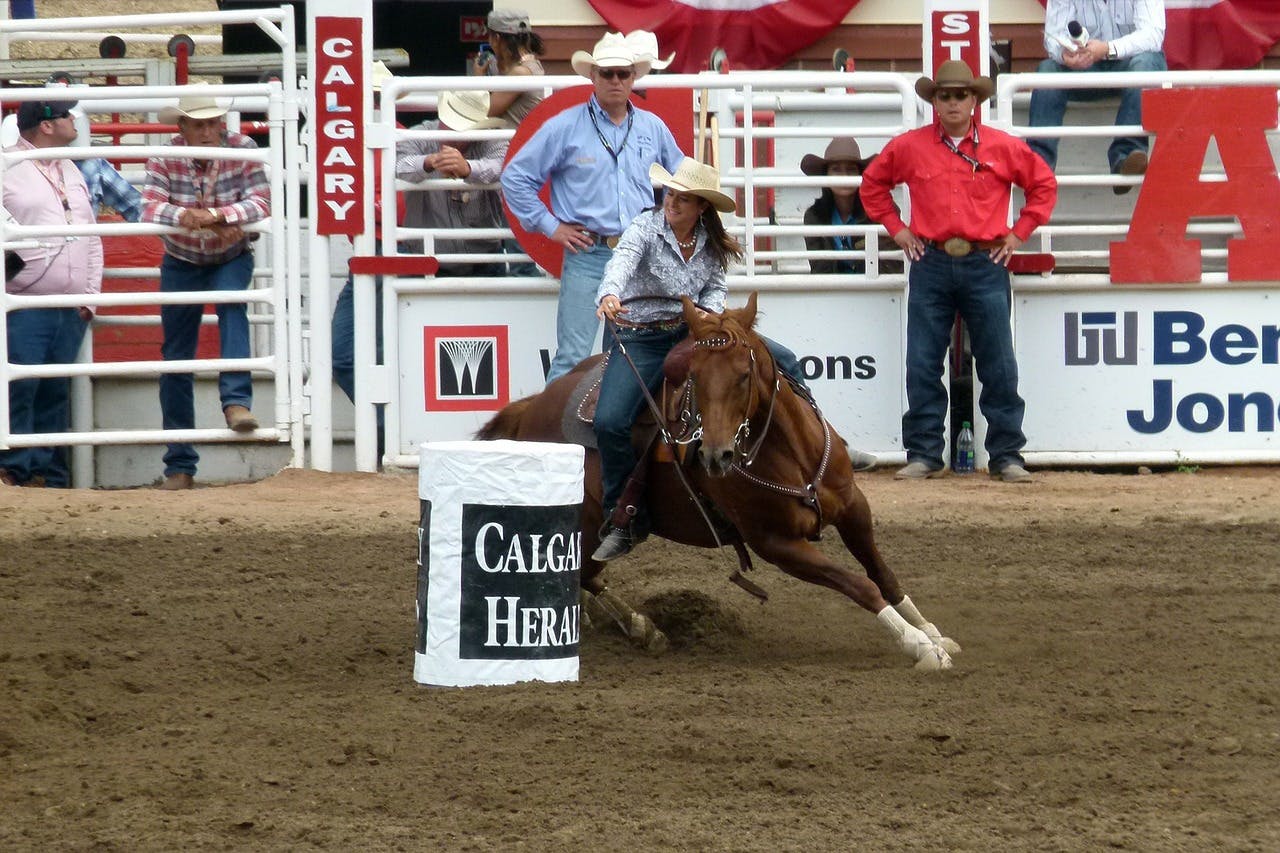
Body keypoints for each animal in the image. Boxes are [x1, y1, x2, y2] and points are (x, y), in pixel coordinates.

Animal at [476, 295, 957, 666]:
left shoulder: (854, 507)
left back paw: (637, 626)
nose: (715, 455)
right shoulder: (776, 544)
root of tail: (533, 407)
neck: (792, 455)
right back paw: (634, 625)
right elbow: (859, 583)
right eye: (695, 378)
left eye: (744, 375)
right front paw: (918, 646)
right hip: (580, 524)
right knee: (581, 573)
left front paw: (932, 631)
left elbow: (882, 574)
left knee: (587, 577)